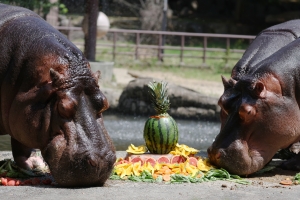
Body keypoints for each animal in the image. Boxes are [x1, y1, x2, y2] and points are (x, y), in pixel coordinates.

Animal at [0, 3, 116, 188]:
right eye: (62, 107)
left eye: (104, 104)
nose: (102, 162)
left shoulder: (18, 115)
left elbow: (21, 145)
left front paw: (31, 166)